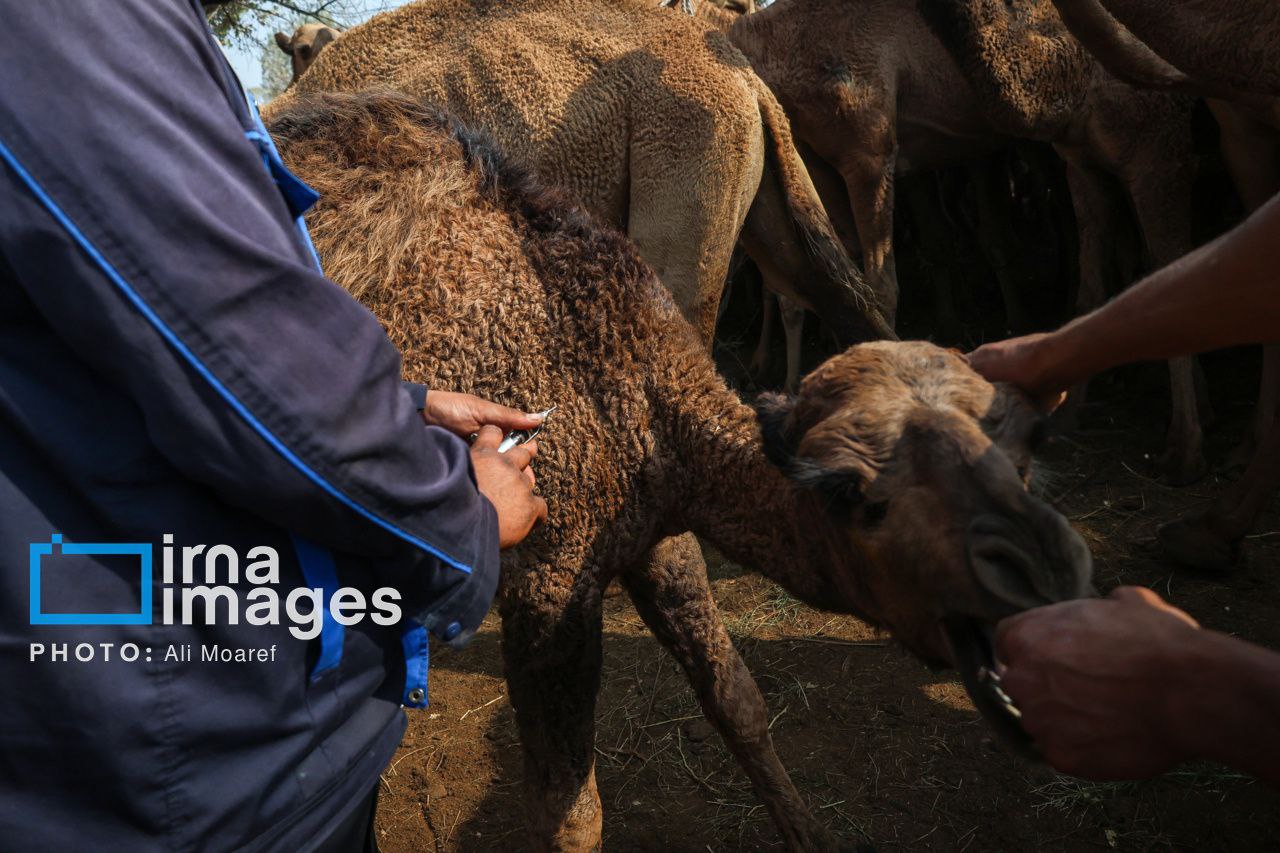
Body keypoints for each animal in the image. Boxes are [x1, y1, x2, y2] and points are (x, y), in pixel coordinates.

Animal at [270, 89, 1090, 845]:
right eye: (858, 494)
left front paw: (807, 832)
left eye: (1023, 455)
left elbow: (738, 701)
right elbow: (569, 813)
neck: (617, 374)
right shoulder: (548, 578)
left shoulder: (654, 523)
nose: (1042, 571)